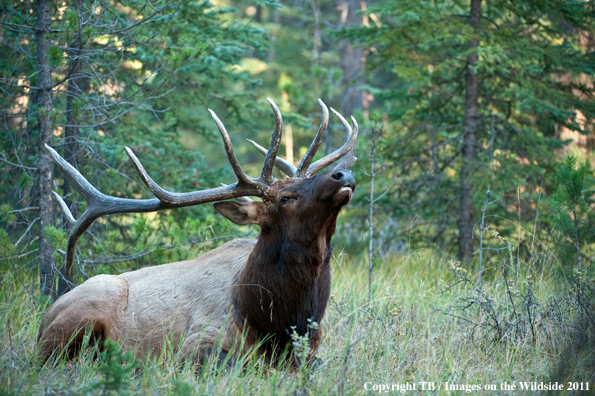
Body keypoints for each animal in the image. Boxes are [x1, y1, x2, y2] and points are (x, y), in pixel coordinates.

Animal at [39, 98, 360, 366]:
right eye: (285, 197)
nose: (342, 174)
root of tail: (46, 313)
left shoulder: (311, 349)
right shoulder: (196, 343)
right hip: (81, 315)